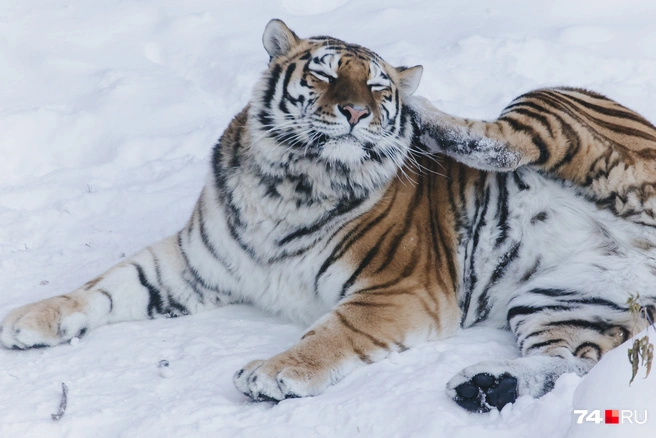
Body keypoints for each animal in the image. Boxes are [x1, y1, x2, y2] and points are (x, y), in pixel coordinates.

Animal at [3, 18, 656, 414]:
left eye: (377, 87)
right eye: (323, 72)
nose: (357, 113)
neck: (289, 181)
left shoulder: (398, 291)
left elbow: (332, 334)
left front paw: (274, 373)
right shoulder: (191, 263)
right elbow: (105, 285)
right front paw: (31, 319)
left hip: (551, 106)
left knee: (503, 140)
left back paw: (426, 115)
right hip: (562, 301)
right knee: (566, 364)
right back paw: (486, 386)